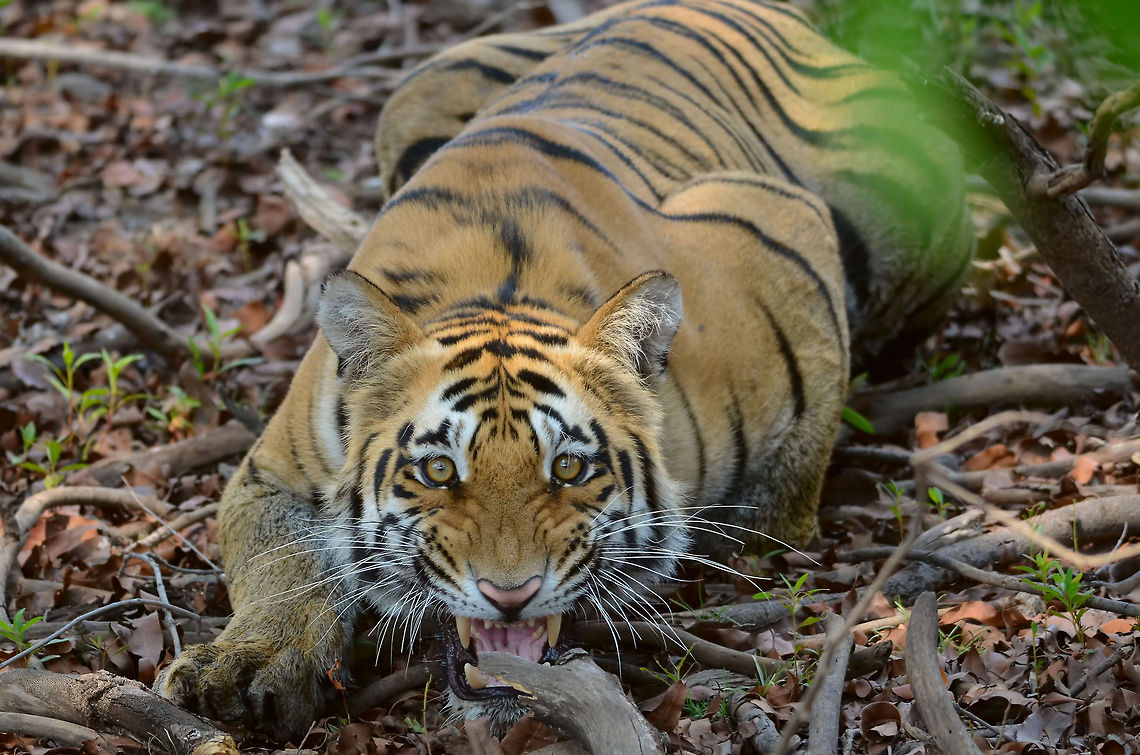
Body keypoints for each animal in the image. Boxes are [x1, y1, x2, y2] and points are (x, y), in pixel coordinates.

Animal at [156, 0, 973, 737]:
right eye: (437, 471)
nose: (510, 595)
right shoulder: (272, 472)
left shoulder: (776, 226)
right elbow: (282, 567)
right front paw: (244, 667)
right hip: (421, 86)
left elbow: (780, 499)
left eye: (571, 468)